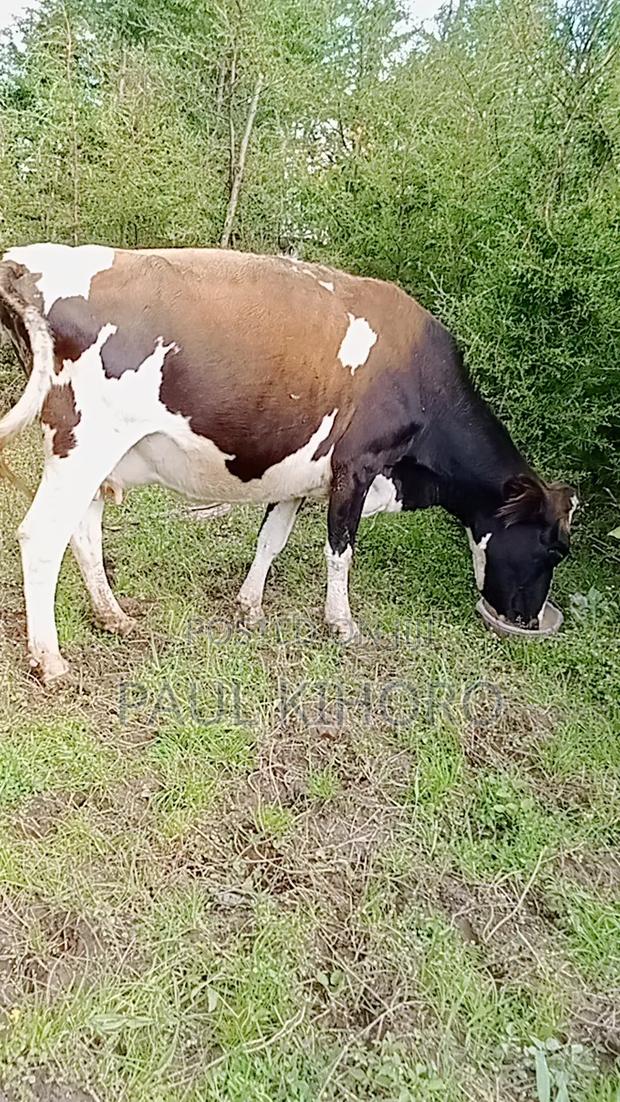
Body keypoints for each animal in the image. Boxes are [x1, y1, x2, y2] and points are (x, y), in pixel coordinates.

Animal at [0, 244, 576, 684]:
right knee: (42, 535)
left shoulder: (300, 474)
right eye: (553, 549)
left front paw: (249, 606)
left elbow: (270, 539)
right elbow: (340, 550)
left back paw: (113, 616)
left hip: (96, 454)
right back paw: (51, 660)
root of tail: (26, 258)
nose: (526, 619)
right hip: (84, 438)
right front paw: (341, 624)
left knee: (83, 529)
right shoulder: (357, 465)